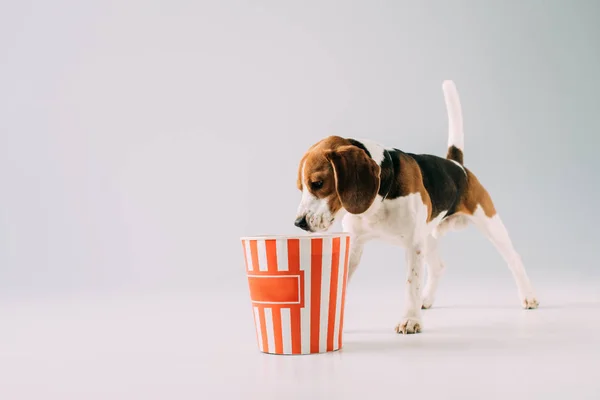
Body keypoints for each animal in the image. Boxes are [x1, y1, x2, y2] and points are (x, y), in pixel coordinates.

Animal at [296, 79, 540, 332]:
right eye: (300, 187)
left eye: (318, 183)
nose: (299, 223)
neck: (378, 199)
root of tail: (456, 165)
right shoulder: (355, 245)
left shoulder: (413, 244)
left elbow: (411, 283)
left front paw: (411, 319)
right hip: (429, 235)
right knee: (438, 266)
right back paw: (427, 298)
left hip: (489, 223)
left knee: (514, 259)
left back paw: (528, 296)